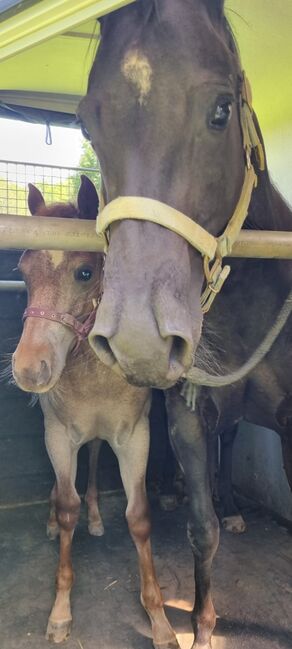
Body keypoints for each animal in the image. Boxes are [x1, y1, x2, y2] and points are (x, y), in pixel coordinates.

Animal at [12, 177, 178, 648]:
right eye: (23, 271)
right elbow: (68, 507)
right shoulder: (57, 435)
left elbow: (139, 517)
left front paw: (159, 620)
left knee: (93, 458)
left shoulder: (135, 437)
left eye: (85, 272)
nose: (29, 369)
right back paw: (53, 519)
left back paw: (98, 517)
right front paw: (60, 612)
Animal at [77, 2, 292, 644]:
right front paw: (201, 626)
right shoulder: (189, 415)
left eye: (222, 109)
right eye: (86, 124)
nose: (138, 338)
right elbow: (202, 530)